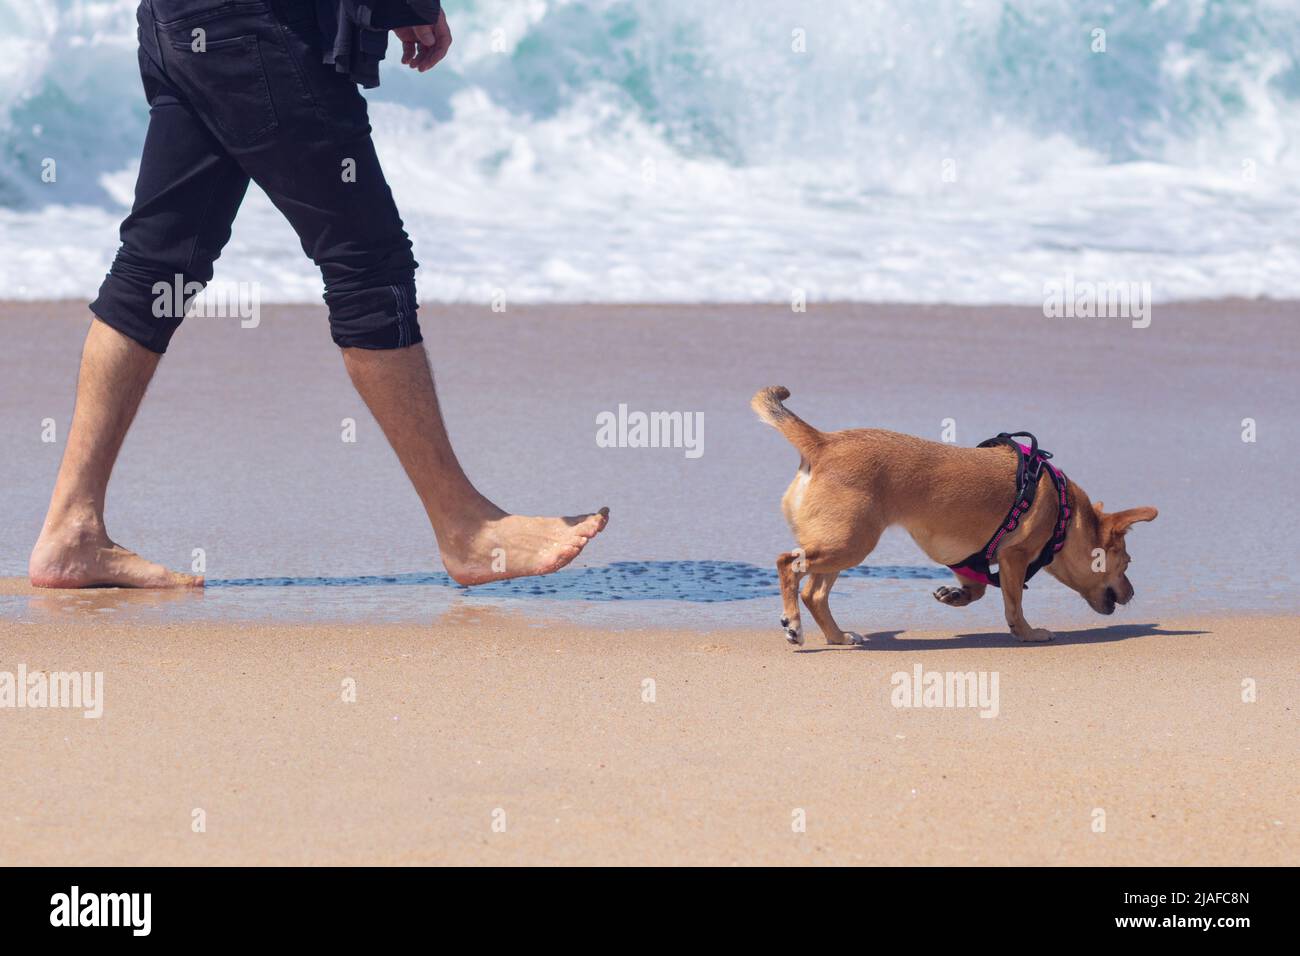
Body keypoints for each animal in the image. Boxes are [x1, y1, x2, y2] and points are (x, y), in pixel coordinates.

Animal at [754, 385, 1159, 647]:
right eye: (1126, 564)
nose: (1133, 593)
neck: (1065, 516)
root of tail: (823, 442)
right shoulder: (1013, 559)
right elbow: (1014, 603)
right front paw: (1027, 633)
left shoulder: (968, 559)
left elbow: (977, 589)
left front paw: (956, 596)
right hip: (848, 544)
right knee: (788, 564)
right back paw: (794, 624)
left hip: (841, 544)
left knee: (815, 593)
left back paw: (837, 637)